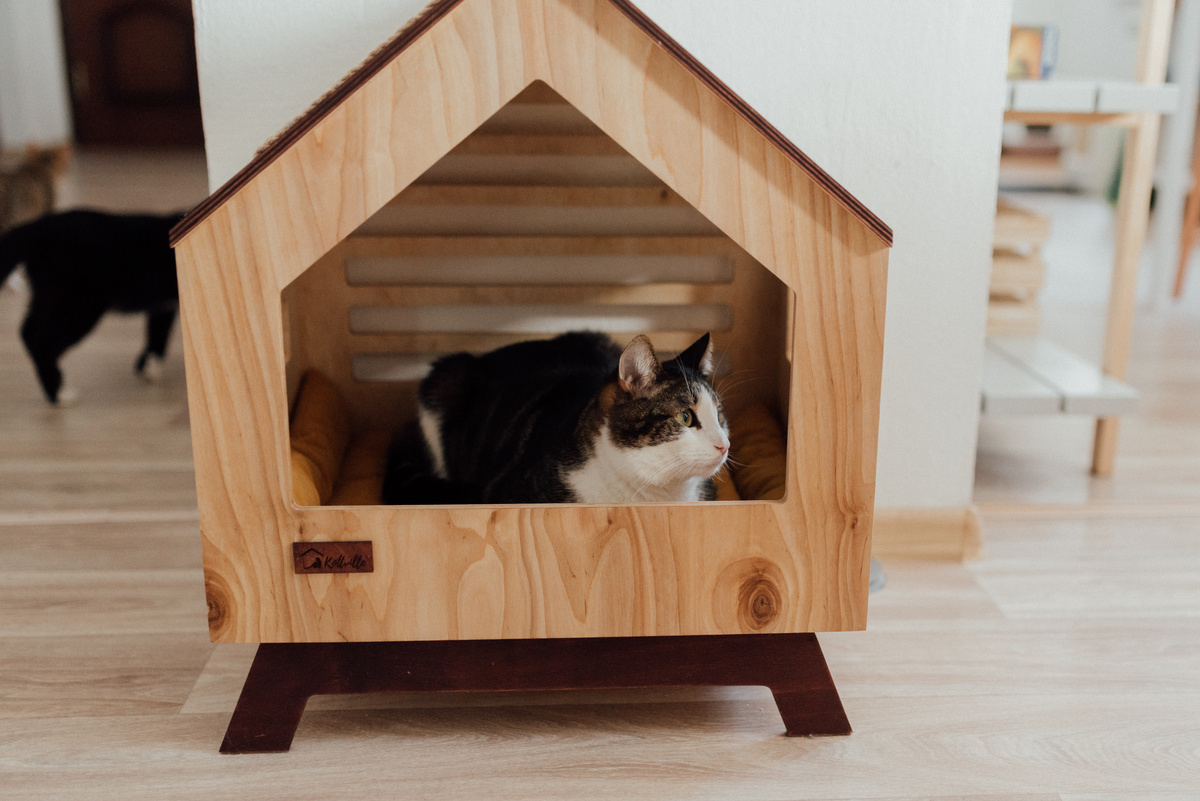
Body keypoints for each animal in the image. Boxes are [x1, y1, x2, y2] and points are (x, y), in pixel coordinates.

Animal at [0, 209, 182, 402]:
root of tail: (38, 226)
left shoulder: (163, 306)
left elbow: (158, 332)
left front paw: (148, 367)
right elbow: (160, 332)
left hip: (48, 297)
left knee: (28, 330)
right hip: (80, 306)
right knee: (42, 341)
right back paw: (60, 393)